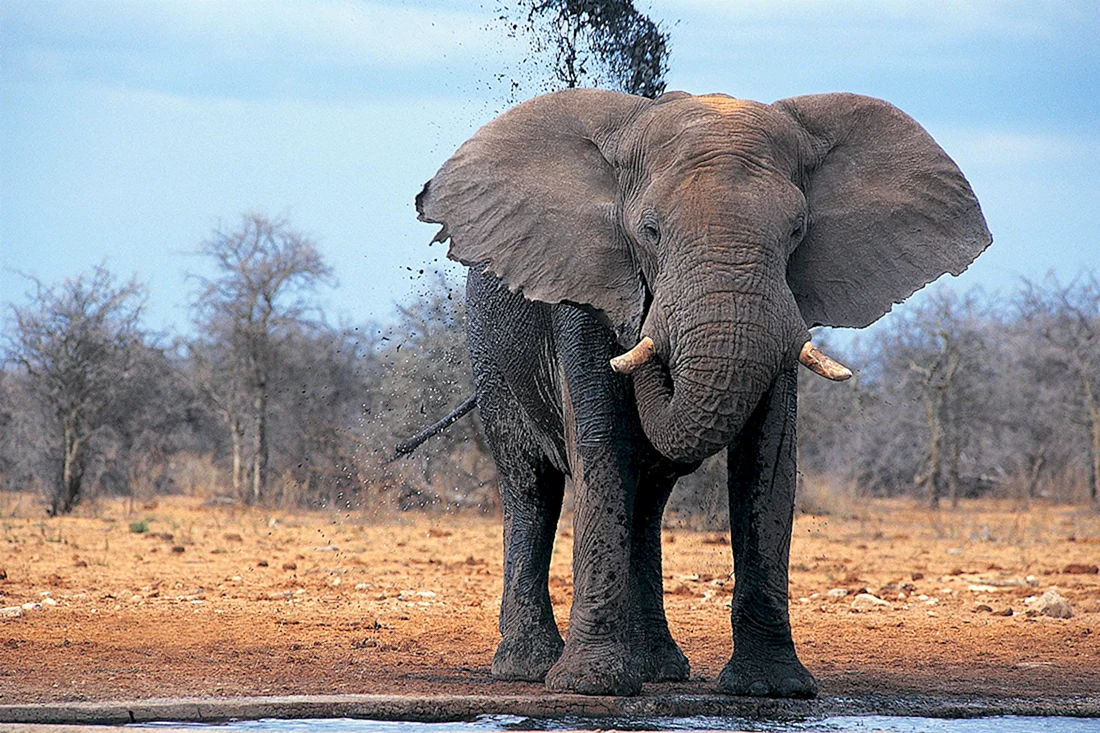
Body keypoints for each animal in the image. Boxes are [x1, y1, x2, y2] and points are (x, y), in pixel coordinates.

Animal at [413, 88, 991, 697]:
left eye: (796, 232)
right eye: (648, 231)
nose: (645, 319)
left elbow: (768, 459)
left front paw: (772, 688)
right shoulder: (583, 296)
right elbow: (601, 447)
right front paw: (591, 686)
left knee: (647, 502)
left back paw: (660, 669)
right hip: (490, 357)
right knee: (532, 490)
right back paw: (528, 668)